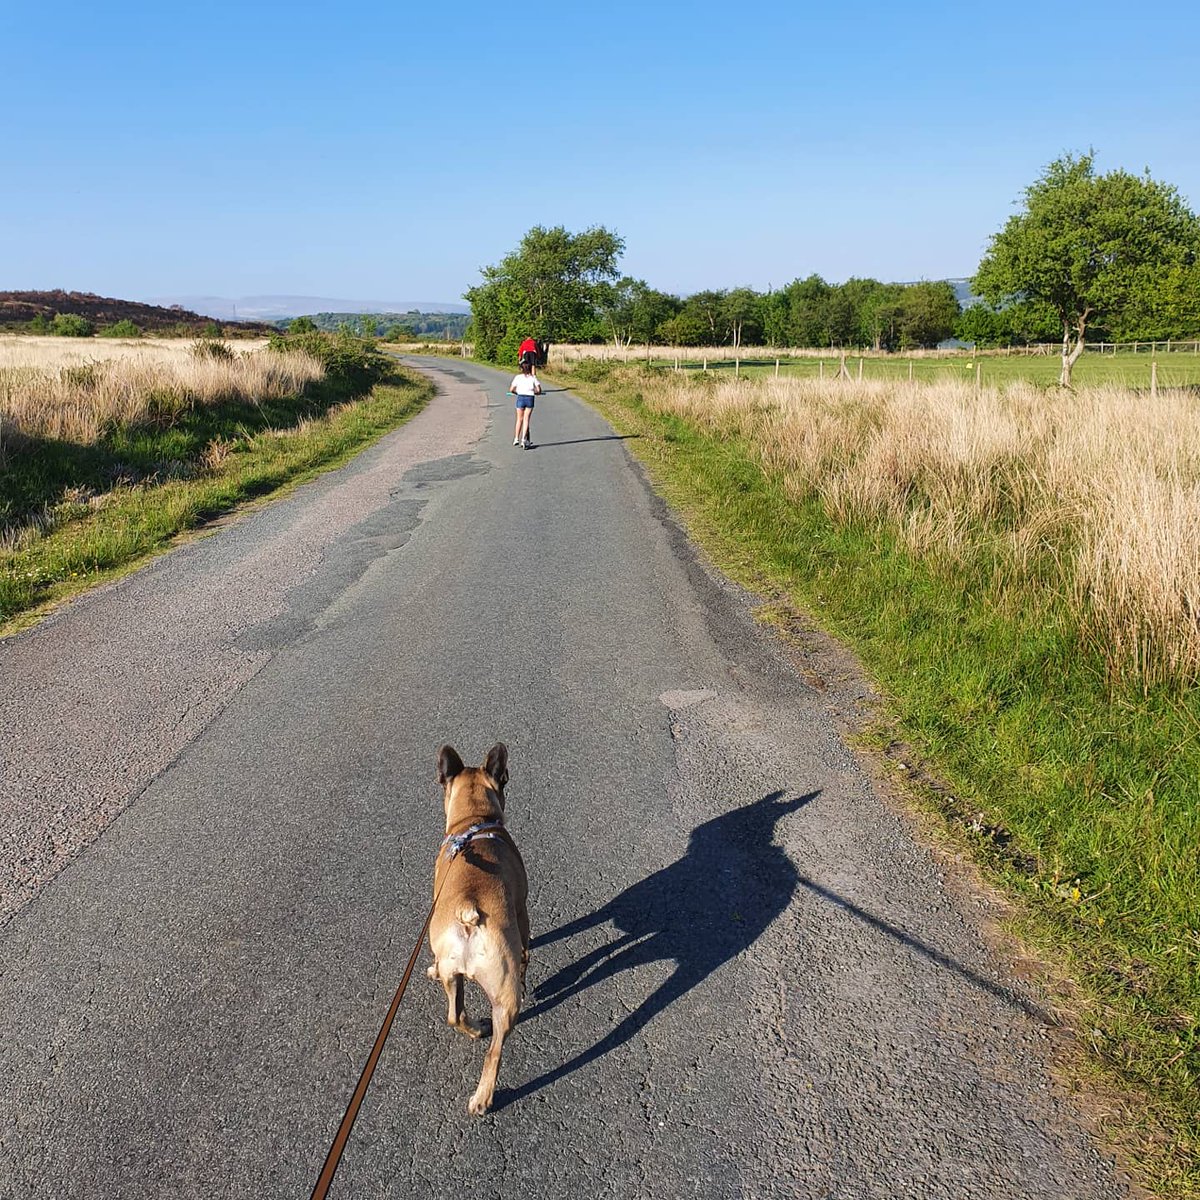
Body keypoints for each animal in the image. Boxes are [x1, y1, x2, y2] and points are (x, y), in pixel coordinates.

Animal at [427, 739, 530, 1113]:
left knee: (455, 1016)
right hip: (507, 995)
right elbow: (528, 942)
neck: (473, 821)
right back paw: (484, 1097)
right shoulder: (522, 909)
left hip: (456, 977)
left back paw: (476, 1029)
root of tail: (468, 913)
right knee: (495, 1052)